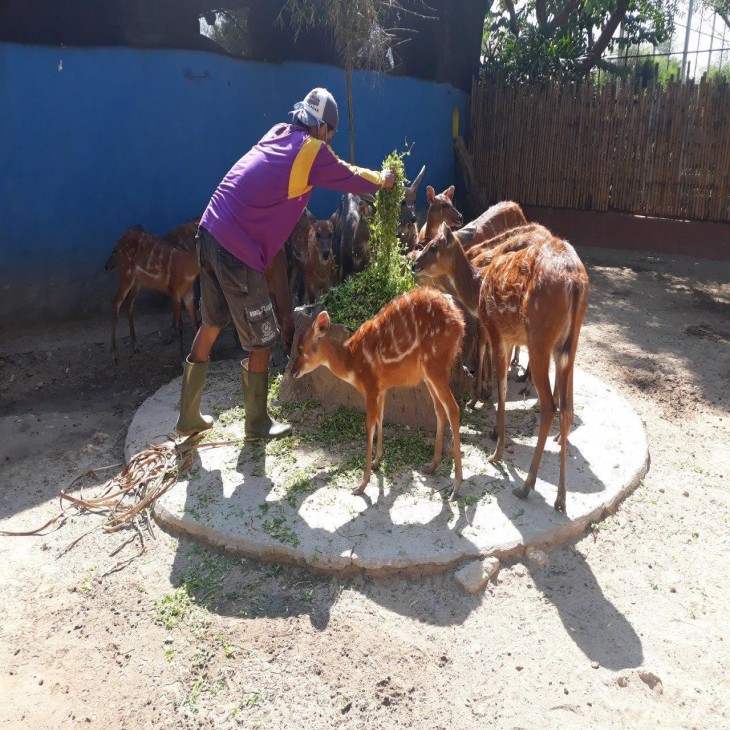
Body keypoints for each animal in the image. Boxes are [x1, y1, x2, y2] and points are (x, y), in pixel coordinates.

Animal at [104, 222, 198, 358]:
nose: (106, 266)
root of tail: (119, 241)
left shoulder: (188, 293)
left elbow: (195, 323)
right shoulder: (174, 291)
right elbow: (180, 325)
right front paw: (181, 357)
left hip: (137, 282)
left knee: (128, 302)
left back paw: (135, 346)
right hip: (126, 274)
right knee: (116, 303)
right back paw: (114, 355)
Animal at [288, 284, 464, 494]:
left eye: (300, 348)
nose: (292, 372)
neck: (352, 362)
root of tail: (460, 322)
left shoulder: (371, 386)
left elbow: (369, 424)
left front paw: (361, 484)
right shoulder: (382, 388)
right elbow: (380, 417)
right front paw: (377, 461)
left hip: (435, 365)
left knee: (453, 408)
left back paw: (456, 487)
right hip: (428, 373)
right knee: (440, 410)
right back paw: (432, 466)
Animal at [412, 223, 588, 512]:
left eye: (433, 246)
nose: (414, 264)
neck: (478, 290)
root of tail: (575, 283)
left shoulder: (495, 329)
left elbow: (501, 386)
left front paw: (497, 445)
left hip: (540, 337)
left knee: (550, 405)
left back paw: (526, 486)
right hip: (569, 343)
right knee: (567, 405)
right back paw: (561, 497)